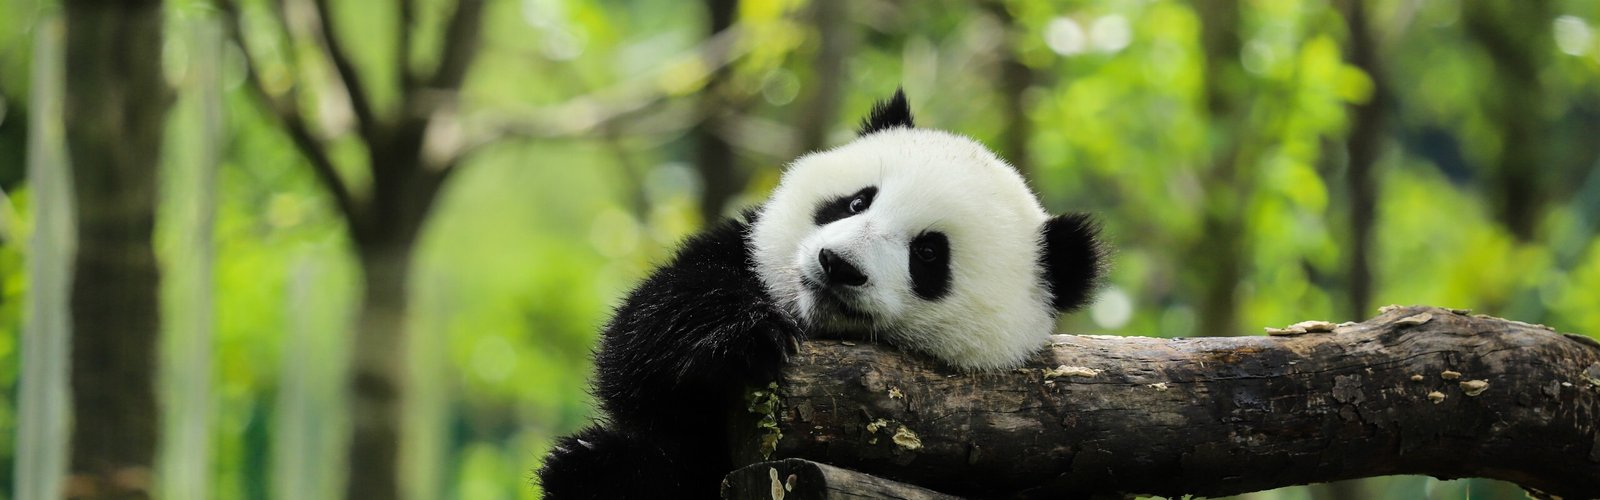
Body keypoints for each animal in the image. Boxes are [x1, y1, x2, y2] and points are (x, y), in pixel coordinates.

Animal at [536, 89, 1104, 498]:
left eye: (928, 254)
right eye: (856, 202)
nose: (839, 265)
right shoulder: (742, 254)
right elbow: (641, 343)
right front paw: (745, 336)